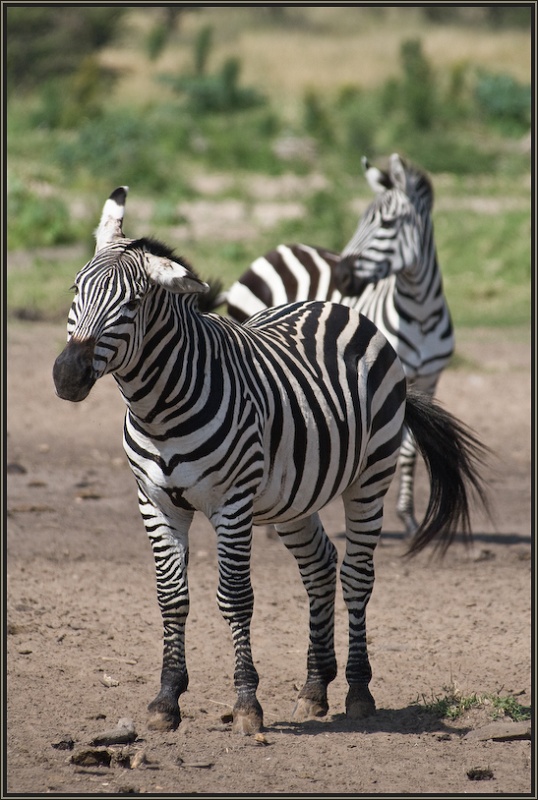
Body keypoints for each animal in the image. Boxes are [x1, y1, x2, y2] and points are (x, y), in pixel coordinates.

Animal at [218, 152, 452, 536]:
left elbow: (409, 451)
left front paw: (409, 518)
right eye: (361, 221)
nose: (342, 276)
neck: (420, 313)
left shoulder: (429, 380)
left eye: (388, 223)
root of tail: (278, 249)